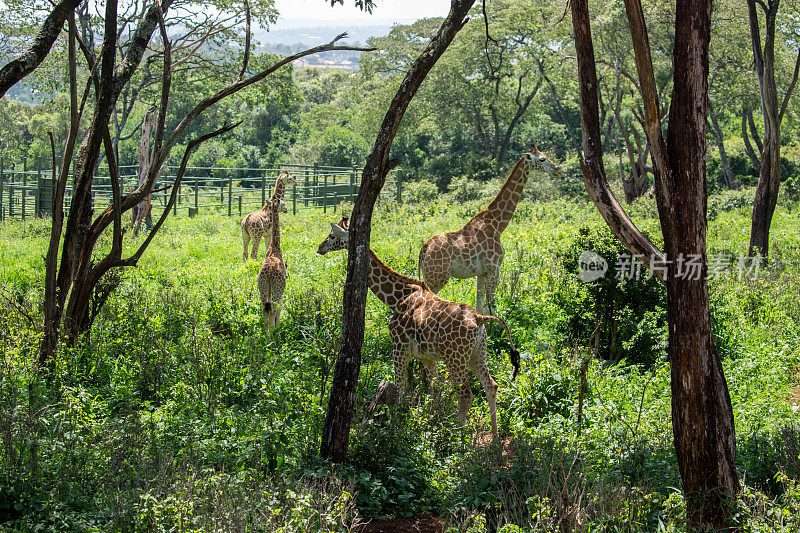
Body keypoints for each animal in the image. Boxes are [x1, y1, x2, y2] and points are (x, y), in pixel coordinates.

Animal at [316, 214, 520, 438]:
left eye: (332, 235)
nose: (319, 247)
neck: (397, 297)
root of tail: (479, 318)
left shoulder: (399, 347)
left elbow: (400, 391)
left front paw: (395, 432)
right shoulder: (427, 357)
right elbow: (435, 390)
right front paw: (432, 422)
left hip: (455, 358)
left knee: (466, 395)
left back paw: (457, 436)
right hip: (477, 353)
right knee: (491, 386)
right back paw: (495, 438)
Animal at [416, 145, 560, 314]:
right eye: (542, 159)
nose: (557, 169)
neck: (497, 224)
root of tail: (424, 249)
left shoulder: (481, 273)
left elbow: (479, 305)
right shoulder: (494, 268)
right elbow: (491, 306)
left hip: (429, 276)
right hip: (438, 277)